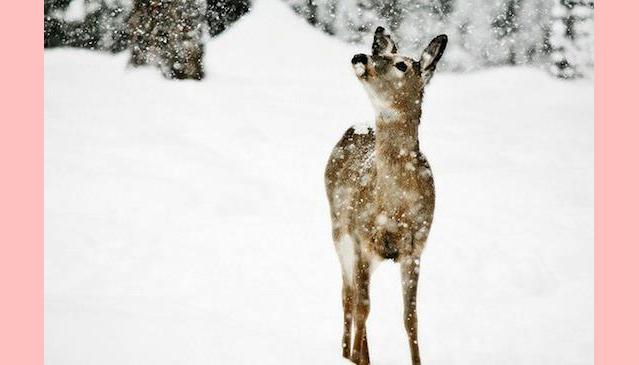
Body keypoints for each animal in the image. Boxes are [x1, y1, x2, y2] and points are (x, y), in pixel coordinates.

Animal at [324, 26, 444, 364]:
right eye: (381, 53)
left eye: (401, 64)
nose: (360, 56)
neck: (395, 208)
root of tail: (356, 127)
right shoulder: (362, 238)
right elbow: (363, 307)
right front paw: (354, 358)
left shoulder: (415, 248)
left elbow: (411, 317)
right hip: (339, 231)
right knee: (348, 295)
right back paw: (346, 354)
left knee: (355, 294)